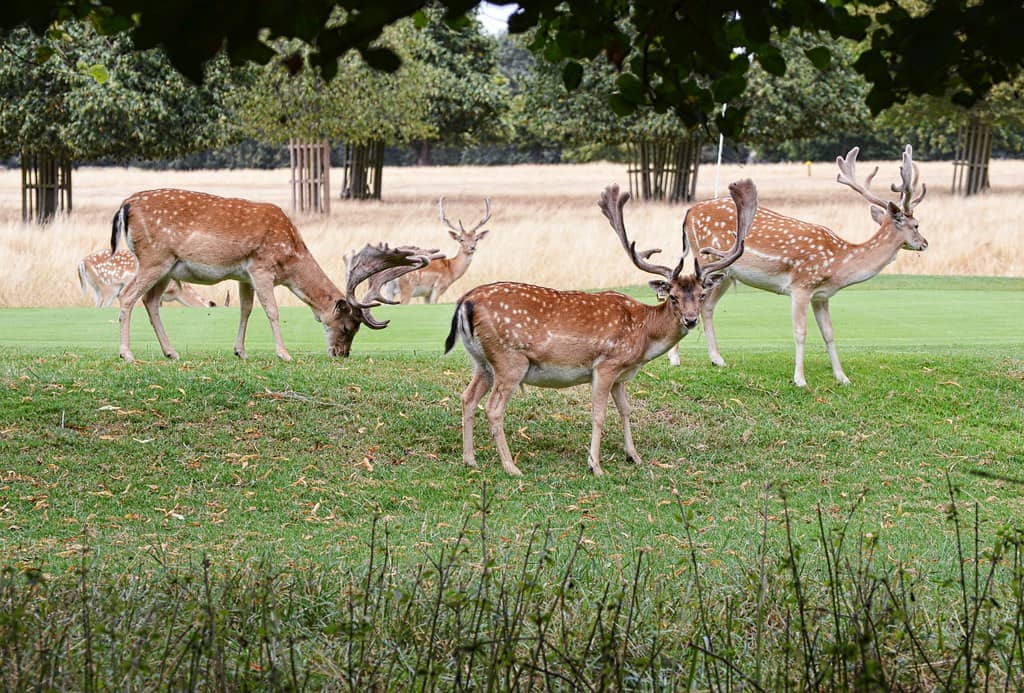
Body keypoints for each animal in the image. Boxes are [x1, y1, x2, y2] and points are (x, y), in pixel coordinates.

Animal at [110, 188, 440, 362]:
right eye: (348, 327)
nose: (340, 354)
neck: (290, 259)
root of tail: (125, 205)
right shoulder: (261, 266)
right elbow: (272, 310)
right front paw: (284, 354)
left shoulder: (244, 275)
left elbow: (245, 309)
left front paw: (240, 352)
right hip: (154, 257)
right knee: (127, 296)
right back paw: (127, 354)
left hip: (167, 267)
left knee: (150, 302)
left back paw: (171, 352)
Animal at [444, 179, 757, 476]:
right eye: (673, 297)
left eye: (701, 295)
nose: (691, 320)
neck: (644, 335)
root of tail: (465, 301)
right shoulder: (606, 364)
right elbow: (599, 414)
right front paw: (595, 465)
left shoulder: (621, 375)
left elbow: (626, 410)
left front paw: (634, 456)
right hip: (510, 359)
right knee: (493, 408)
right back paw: (511, 467)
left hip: (482, 361)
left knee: (467, 397)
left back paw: (470, 459)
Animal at [666, 145, 928, 387]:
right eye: (916, 224)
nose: (925, 243)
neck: (839, 262)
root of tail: (688, 212)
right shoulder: (801, 285)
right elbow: (800, 332)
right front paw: (800, 379)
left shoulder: (821, 295)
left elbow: (829, 333)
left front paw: (842, 377)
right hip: (706, 259)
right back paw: (675, 358)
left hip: (726, 274)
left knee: (707, 306)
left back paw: (717, 359)